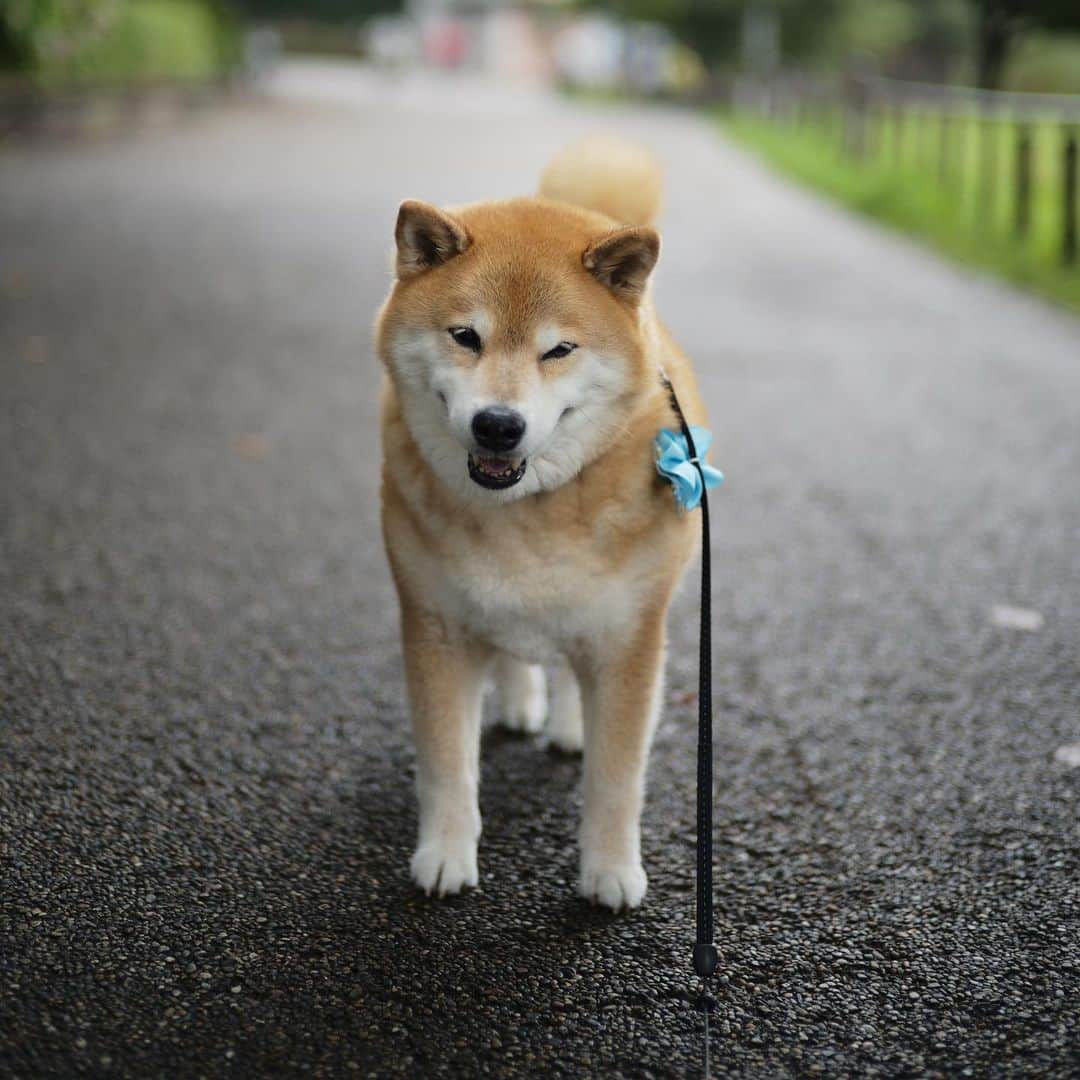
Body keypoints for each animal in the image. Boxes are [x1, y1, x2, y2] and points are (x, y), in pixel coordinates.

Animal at [378, 135, 708, 911]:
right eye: (465, 336)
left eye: (559, 350)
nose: (498, 425)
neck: (527, 513)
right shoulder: (435, 627)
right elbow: (447, 764)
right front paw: (445, 854)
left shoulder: (628, 641)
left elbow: (617, 778)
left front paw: (610, 871)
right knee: (516, 653)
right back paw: (523, 703)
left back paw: (564, 724)